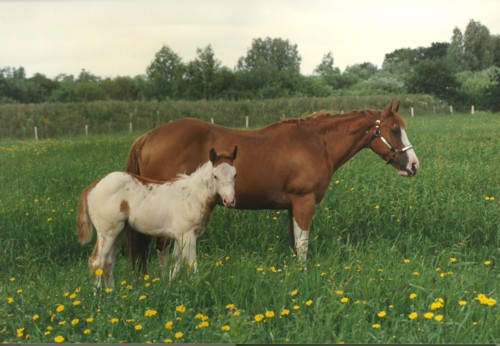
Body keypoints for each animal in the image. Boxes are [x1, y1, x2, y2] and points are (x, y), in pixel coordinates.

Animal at [76, 146, 236, 286]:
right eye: (215, 176)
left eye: (235, 174)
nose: (229, 201)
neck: (194, 195)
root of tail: (91, 187)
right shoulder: (188, 236)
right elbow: (192, 266)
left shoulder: (179, 236)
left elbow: (176, 262)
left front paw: (170, 287)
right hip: (107, 233)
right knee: (96, 262)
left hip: (119, 232)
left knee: (108, 263)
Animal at [124, 100, 418, 274]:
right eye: (394, 130)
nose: (414, 165)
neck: (316, 142)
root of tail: (146, 137)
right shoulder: (304, 202)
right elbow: (303, 245)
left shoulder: (292, 207)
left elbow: (294, 243)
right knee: (162, 246)